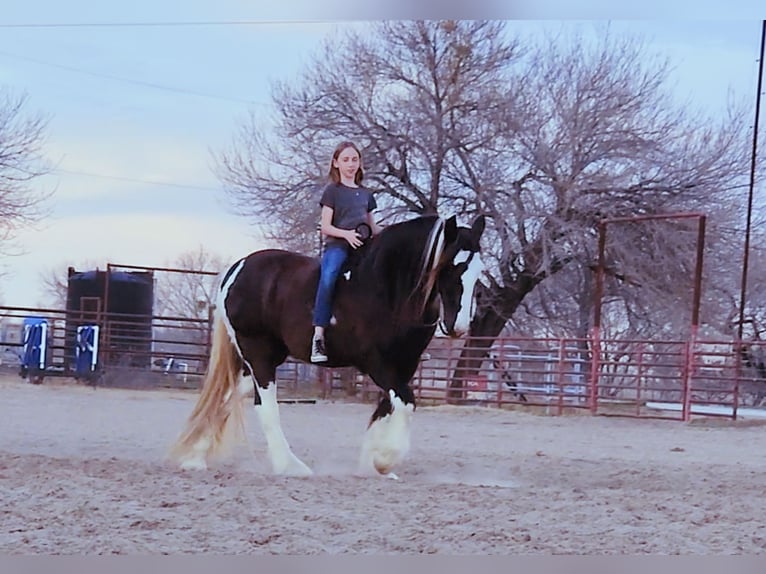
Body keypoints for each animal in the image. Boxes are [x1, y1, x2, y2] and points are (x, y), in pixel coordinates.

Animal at [172, 214, 488, 480]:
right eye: (452, 266)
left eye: (478, 271)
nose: (459, 327)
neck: (387, 290)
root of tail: (237, 269)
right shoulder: (377, 364)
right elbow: (406, 403)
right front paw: (385, 460)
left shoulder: (404, 366)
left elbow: (386, 407)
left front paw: (372, 462)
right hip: (258, 354)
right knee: (266, 407)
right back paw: (290, 466)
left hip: (260, 359)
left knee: (230, 397)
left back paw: (195, 459)